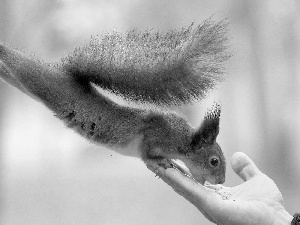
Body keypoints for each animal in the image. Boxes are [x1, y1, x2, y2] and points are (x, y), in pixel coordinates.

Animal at [0, 18, 230, 185]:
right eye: (214, 161)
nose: (221, 181)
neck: (182, 140)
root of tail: (61, 73)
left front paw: (177, 165)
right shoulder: (154, 134)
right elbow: (147, 152)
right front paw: (162, 161)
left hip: (28, 83)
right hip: (37, 79)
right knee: (19, 63)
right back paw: (3, 48)